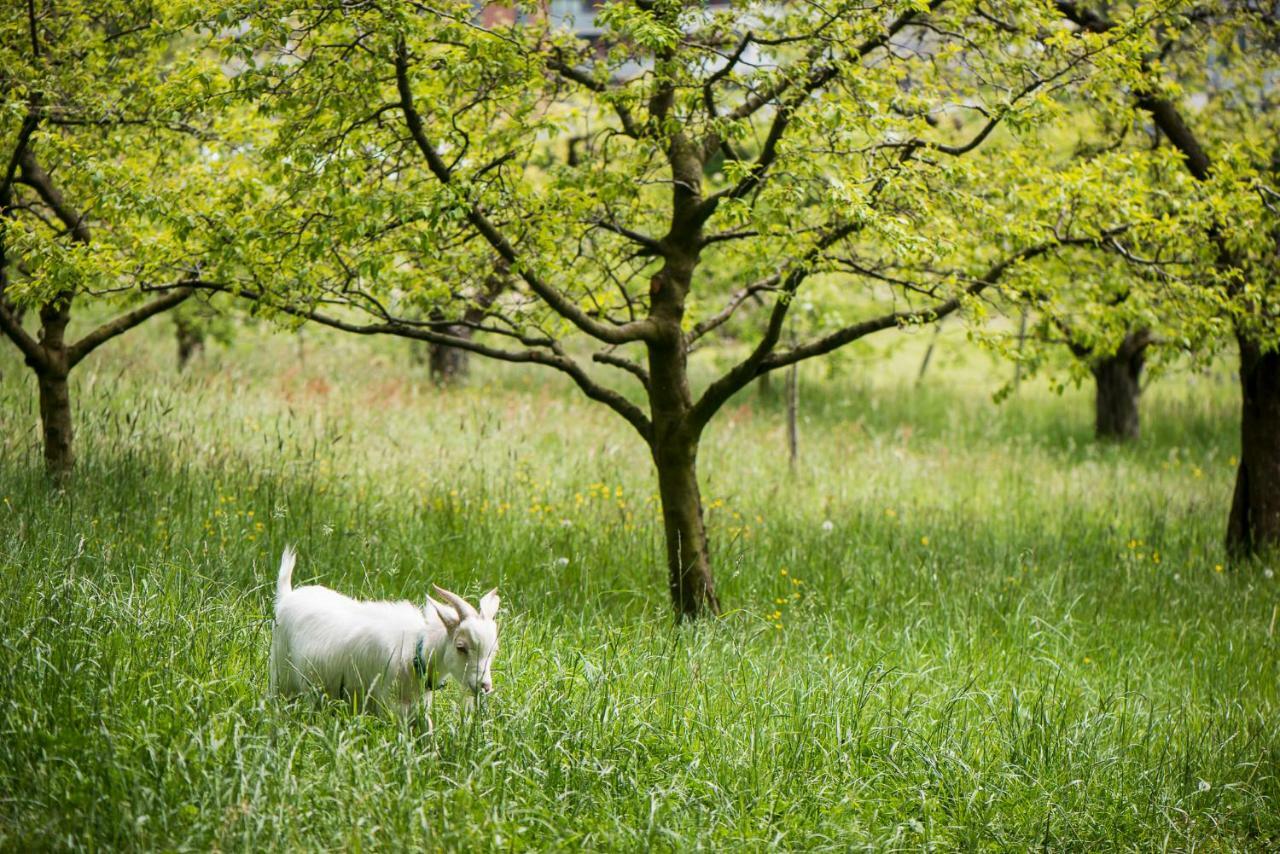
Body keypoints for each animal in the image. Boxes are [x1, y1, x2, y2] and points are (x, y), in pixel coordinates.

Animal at [268, 545, 499, 732]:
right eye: (461, 647)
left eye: (493, 650)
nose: (485, 686)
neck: (415, 651)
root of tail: (287, 596)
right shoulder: (390, 705)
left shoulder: (418, 706)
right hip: (280, 678)